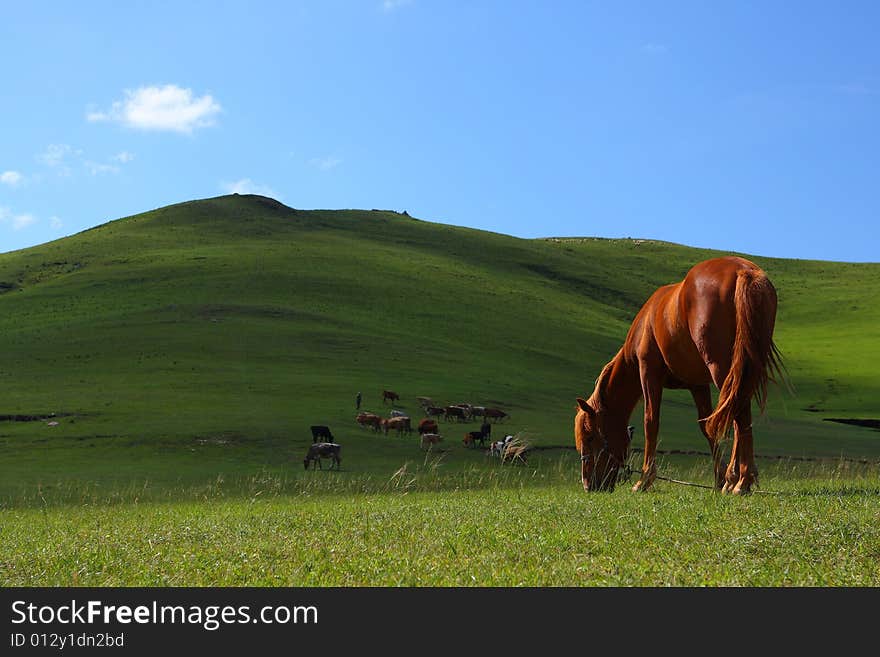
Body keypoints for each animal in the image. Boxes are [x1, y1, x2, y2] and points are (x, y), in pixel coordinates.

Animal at [576, 256, 788, 492]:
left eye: (590, 436)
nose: (588, 485)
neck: (646, 323)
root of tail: (744, 272)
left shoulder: (648, 373)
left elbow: (651, 421)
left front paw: (644, 479)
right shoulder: (697, 384)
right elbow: (706, 427)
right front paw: (720, 478)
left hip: (723, 370)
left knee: (738, 414)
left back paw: (742, 481)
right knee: (737, 416)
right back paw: (736, 479)